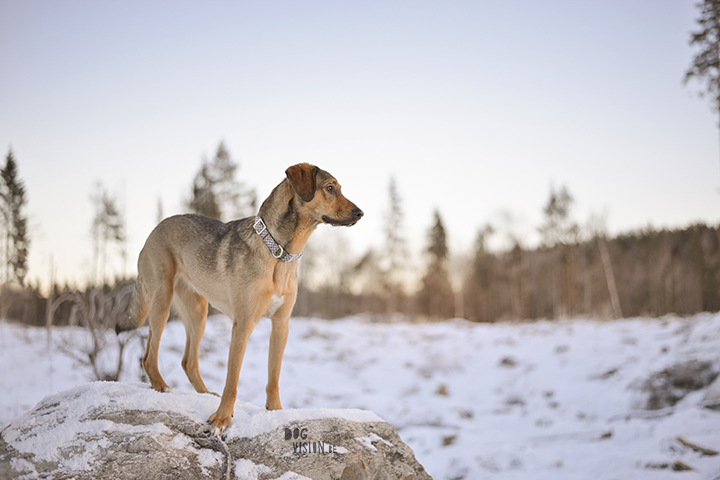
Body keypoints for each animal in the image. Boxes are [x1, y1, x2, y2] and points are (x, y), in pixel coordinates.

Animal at [119, 162, 366, 436]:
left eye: (339, 188)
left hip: (197, 312)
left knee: (188, 361)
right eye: (330, 188)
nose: (360, 213)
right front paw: (221, 419)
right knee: (149, 357)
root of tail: (153, 231)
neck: (279, 253)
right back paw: (162, 386)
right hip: (162, 300)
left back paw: (205, 394)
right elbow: (232, 379)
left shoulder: (281, 325)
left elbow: (273, 377)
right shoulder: (243, 324)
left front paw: (275, 411)